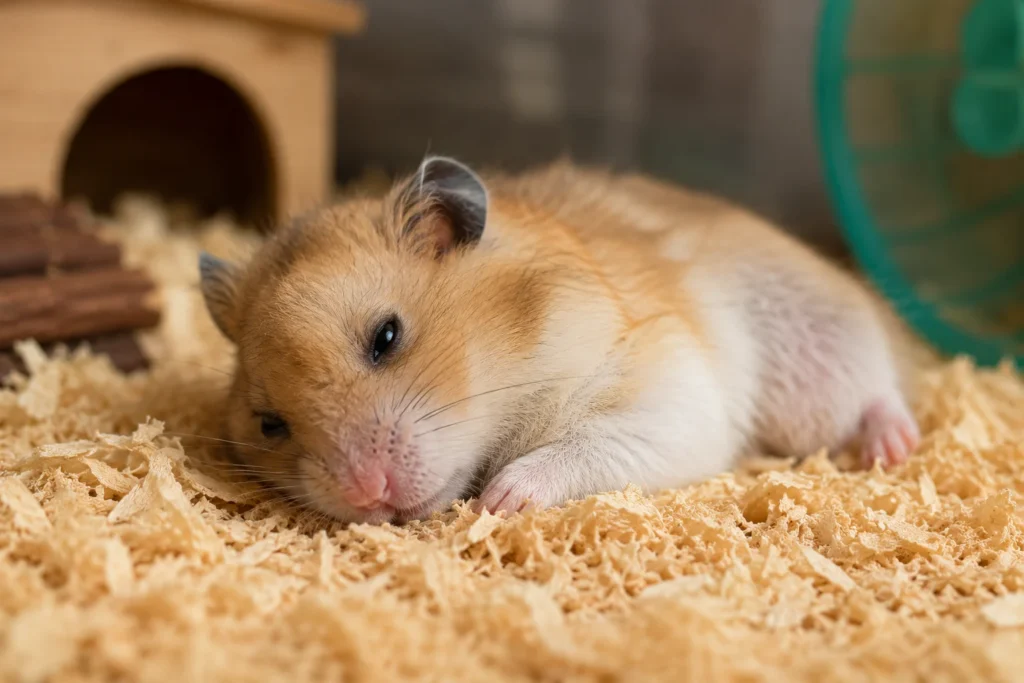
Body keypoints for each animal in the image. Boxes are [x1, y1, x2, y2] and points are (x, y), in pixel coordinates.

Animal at [199, 156, 920, 525]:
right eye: (269, 424)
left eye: (387, 336)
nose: (366, 494)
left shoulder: (666, 390)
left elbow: (580, 448)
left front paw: (499, 501)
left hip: (817, 351)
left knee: (877, 391)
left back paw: (894, 447)